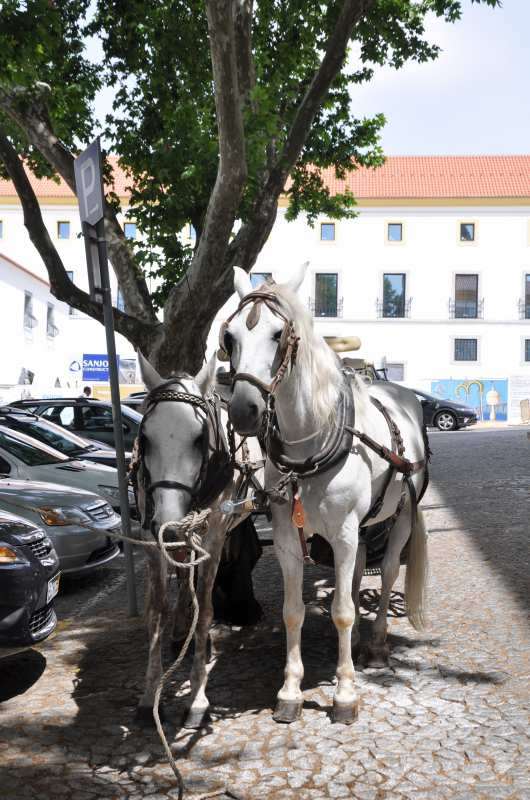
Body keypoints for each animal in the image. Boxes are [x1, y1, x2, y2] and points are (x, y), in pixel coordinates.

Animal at [222, 264, 424, 724]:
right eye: (230, 338)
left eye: (278, 334)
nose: (243, 411)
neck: (309, 446)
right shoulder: (286, 537)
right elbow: (294, 611)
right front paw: (290, 690)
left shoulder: (345, 531)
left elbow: (344, 612)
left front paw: (345, 692)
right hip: (363, 528)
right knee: (358, 572)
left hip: (400, 517)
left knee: (387, 573)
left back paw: (377, 645)